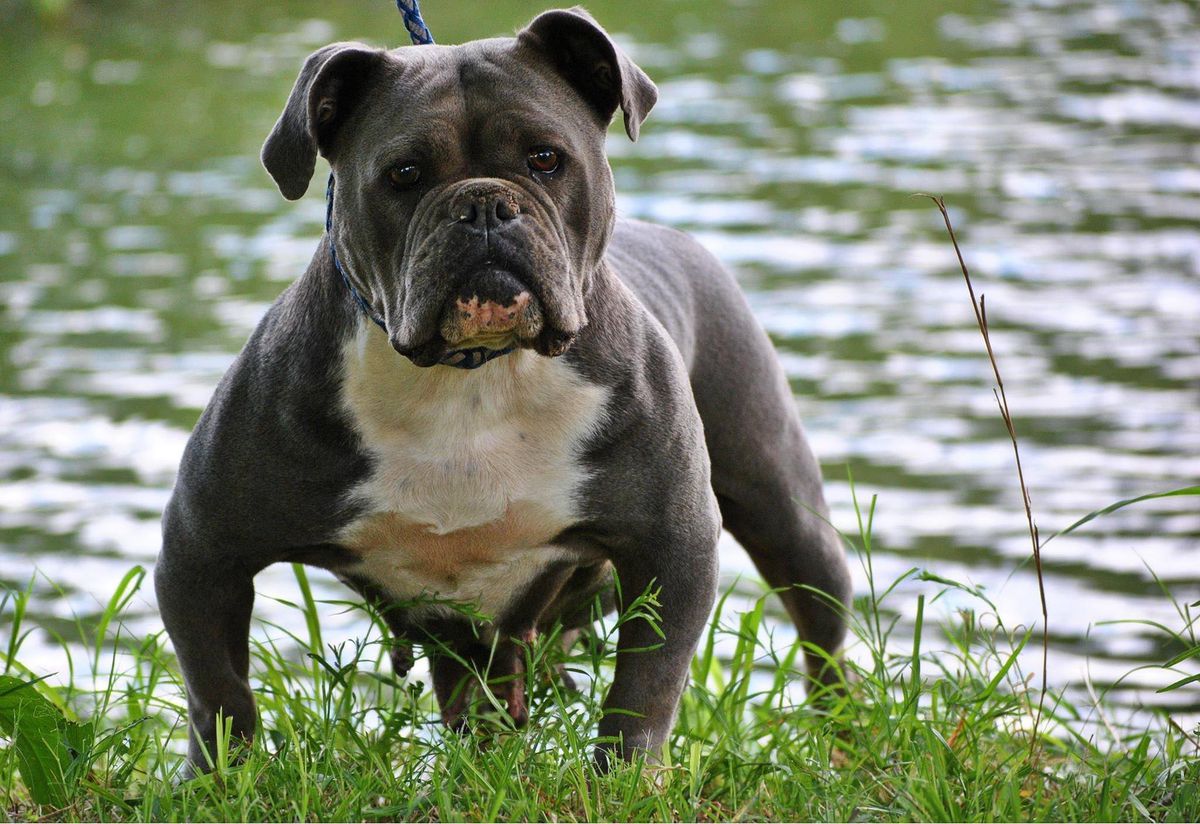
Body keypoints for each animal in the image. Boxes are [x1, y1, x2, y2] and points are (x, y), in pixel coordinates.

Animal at [157, 6, 854, 772]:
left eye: (546, 159)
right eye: (403, 174)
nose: (484, 206)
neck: (473, 374)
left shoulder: (673, 543)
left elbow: (645, 689)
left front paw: (626, 777)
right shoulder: (203, 549)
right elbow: (219, 690)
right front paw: (221, 777)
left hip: (781, 505)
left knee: (821, 631)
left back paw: (844, 741)